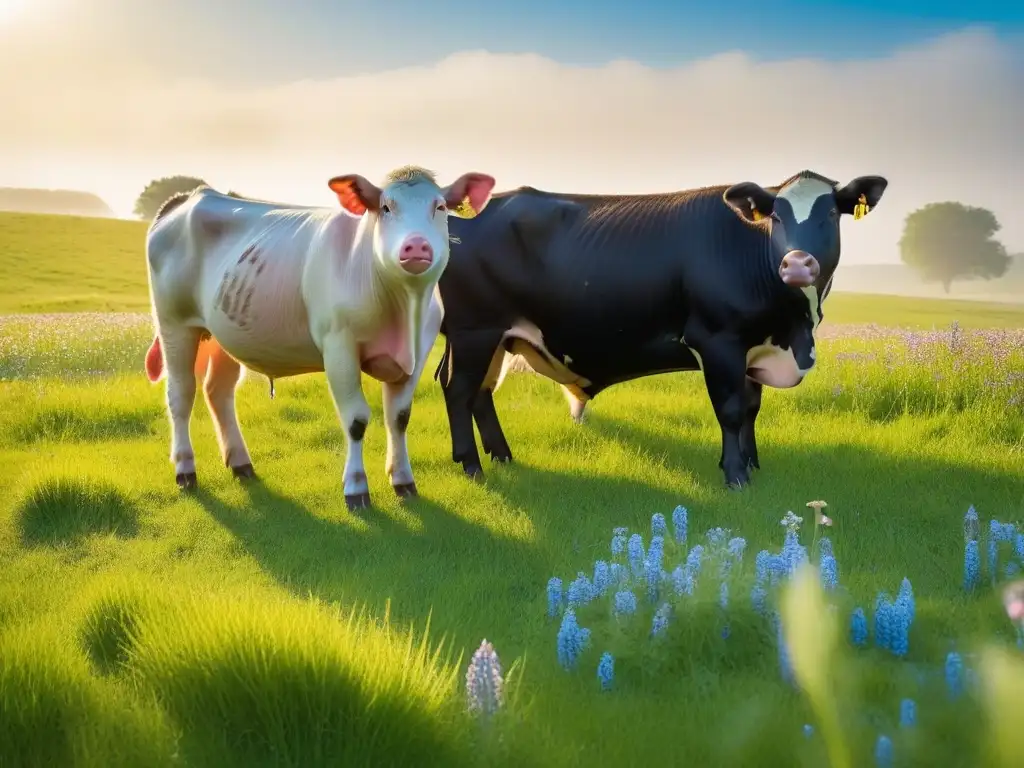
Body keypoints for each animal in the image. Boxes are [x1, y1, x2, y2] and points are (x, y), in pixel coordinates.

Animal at [143, 165, 495, 507]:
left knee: (218, 391)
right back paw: (185, 470)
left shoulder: (418, 354)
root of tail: (192, 196)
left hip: (223, 332)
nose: (417, 245)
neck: (404, 310)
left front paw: (403, 481)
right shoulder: (339, 347)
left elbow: (399, 417)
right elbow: (356, 420)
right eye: (385, 207)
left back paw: (241, 464)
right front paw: (356, 488)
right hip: (174, 323)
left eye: (439, 207)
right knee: (180, 394)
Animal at [436, 171, 884, 489]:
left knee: (478, 391)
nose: (796, 264)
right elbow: (731, 409)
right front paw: (736, 475)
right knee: (459, 390)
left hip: (491, 336)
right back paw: (472, 466)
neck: (793, 330)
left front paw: (753, 464)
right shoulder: (718, 340)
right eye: (776, 215)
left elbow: (751, 408)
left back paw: (502, 456)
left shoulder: (753, 348)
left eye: (831, 213)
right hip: (475, 329)